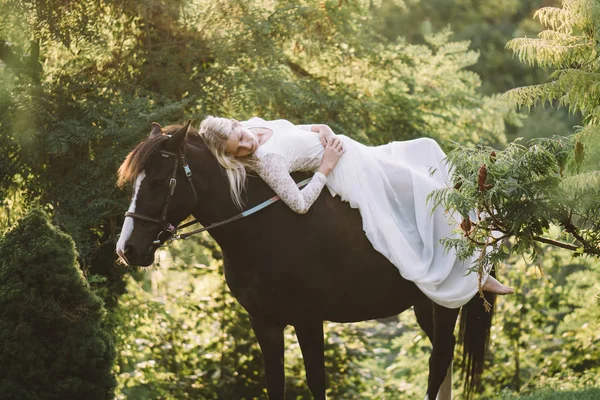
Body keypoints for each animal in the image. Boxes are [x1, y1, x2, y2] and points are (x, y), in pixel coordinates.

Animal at [115, 122, 494, 400]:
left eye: (159, 182)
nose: (127, 249)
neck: (265, 228)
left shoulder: (308, 319)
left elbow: (316, 382)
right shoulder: (264, 322)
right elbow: (275, 384)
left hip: (444, 306)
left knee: (438, 360)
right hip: (427, 304)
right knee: (442, 361)